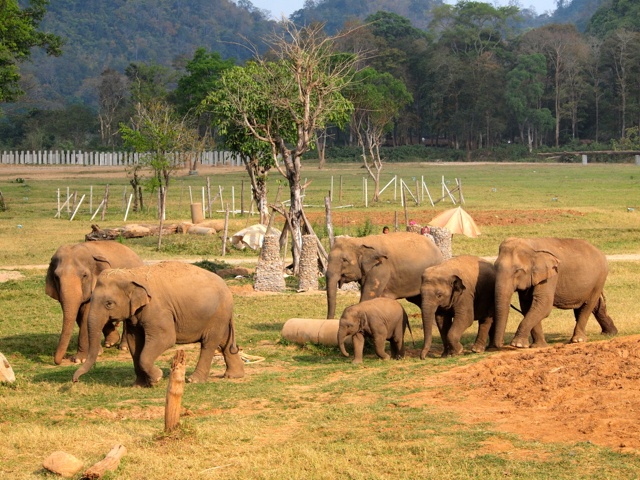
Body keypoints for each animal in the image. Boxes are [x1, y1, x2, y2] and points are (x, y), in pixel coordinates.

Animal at [72, 260, 242, 388]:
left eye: (109, 303)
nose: (75, 380)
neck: (133, 274)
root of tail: (228, 289)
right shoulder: (135, 315)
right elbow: (135, 343)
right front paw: (139, 385)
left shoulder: (158, 310)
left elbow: (165, 339)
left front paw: (157, 378)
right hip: (219, 316)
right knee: (224, 342)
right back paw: (233, 375)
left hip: (217, 315)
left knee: (209, 343)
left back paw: (194, 380)